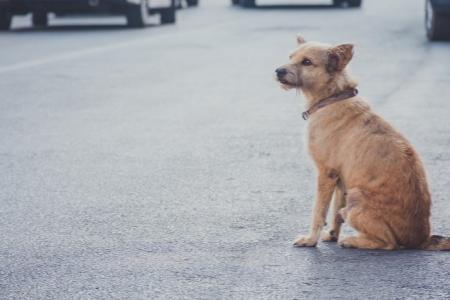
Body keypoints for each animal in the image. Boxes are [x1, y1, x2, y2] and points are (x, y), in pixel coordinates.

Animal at [276, 36, 450, 250]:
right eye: (290, 57)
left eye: (307, 62)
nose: (278, 71)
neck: (332, 97)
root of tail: (421, 239)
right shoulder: (341, 179)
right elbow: (334, 212)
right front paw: (332, 234)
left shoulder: (326, 173)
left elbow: (318, 212)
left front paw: (310, 240)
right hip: (351, 192)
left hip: (356, 195)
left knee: (389, 243)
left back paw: (353, 241)